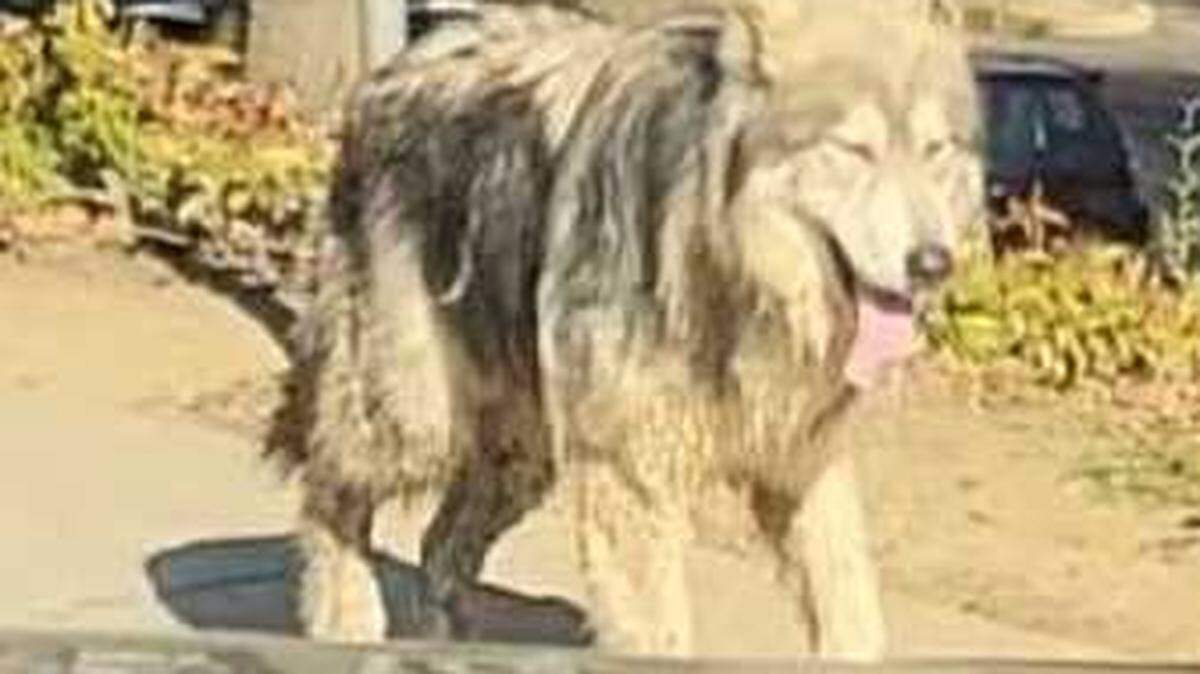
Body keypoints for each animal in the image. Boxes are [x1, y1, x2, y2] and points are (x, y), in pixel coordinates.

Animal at [266, 0, 983, 659]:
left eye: (935, 151)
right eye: (854, 151)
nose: (933, 263)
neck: (728, 271)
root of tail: (399, 63)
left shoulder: (800, 461)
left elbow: (852, 612)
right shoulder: (631, 476)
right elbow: (657, 632)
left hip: (523, 452)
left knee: (440, 546)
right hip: (415, 415)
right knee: (330, 493)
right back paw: (347, 622)